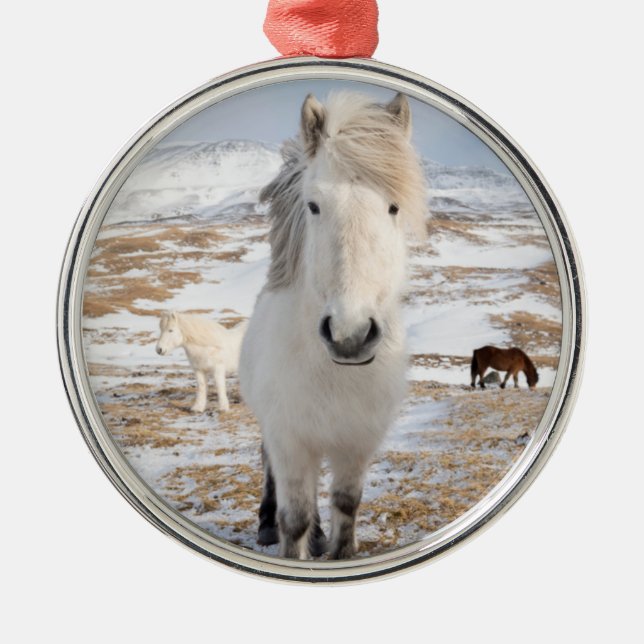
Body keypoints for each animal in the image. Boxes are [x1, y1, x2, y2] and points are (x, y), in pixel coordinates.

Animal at [239, 91, 428, 559]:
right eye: (314, 205)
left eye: (393, 206)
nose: (350, 334)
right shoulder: (290, 441)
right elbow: (294, 519)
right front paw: (294, 546)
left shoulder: (356, 444)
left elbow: (346, 504)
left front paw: (339, 550)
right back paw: (266, 526)